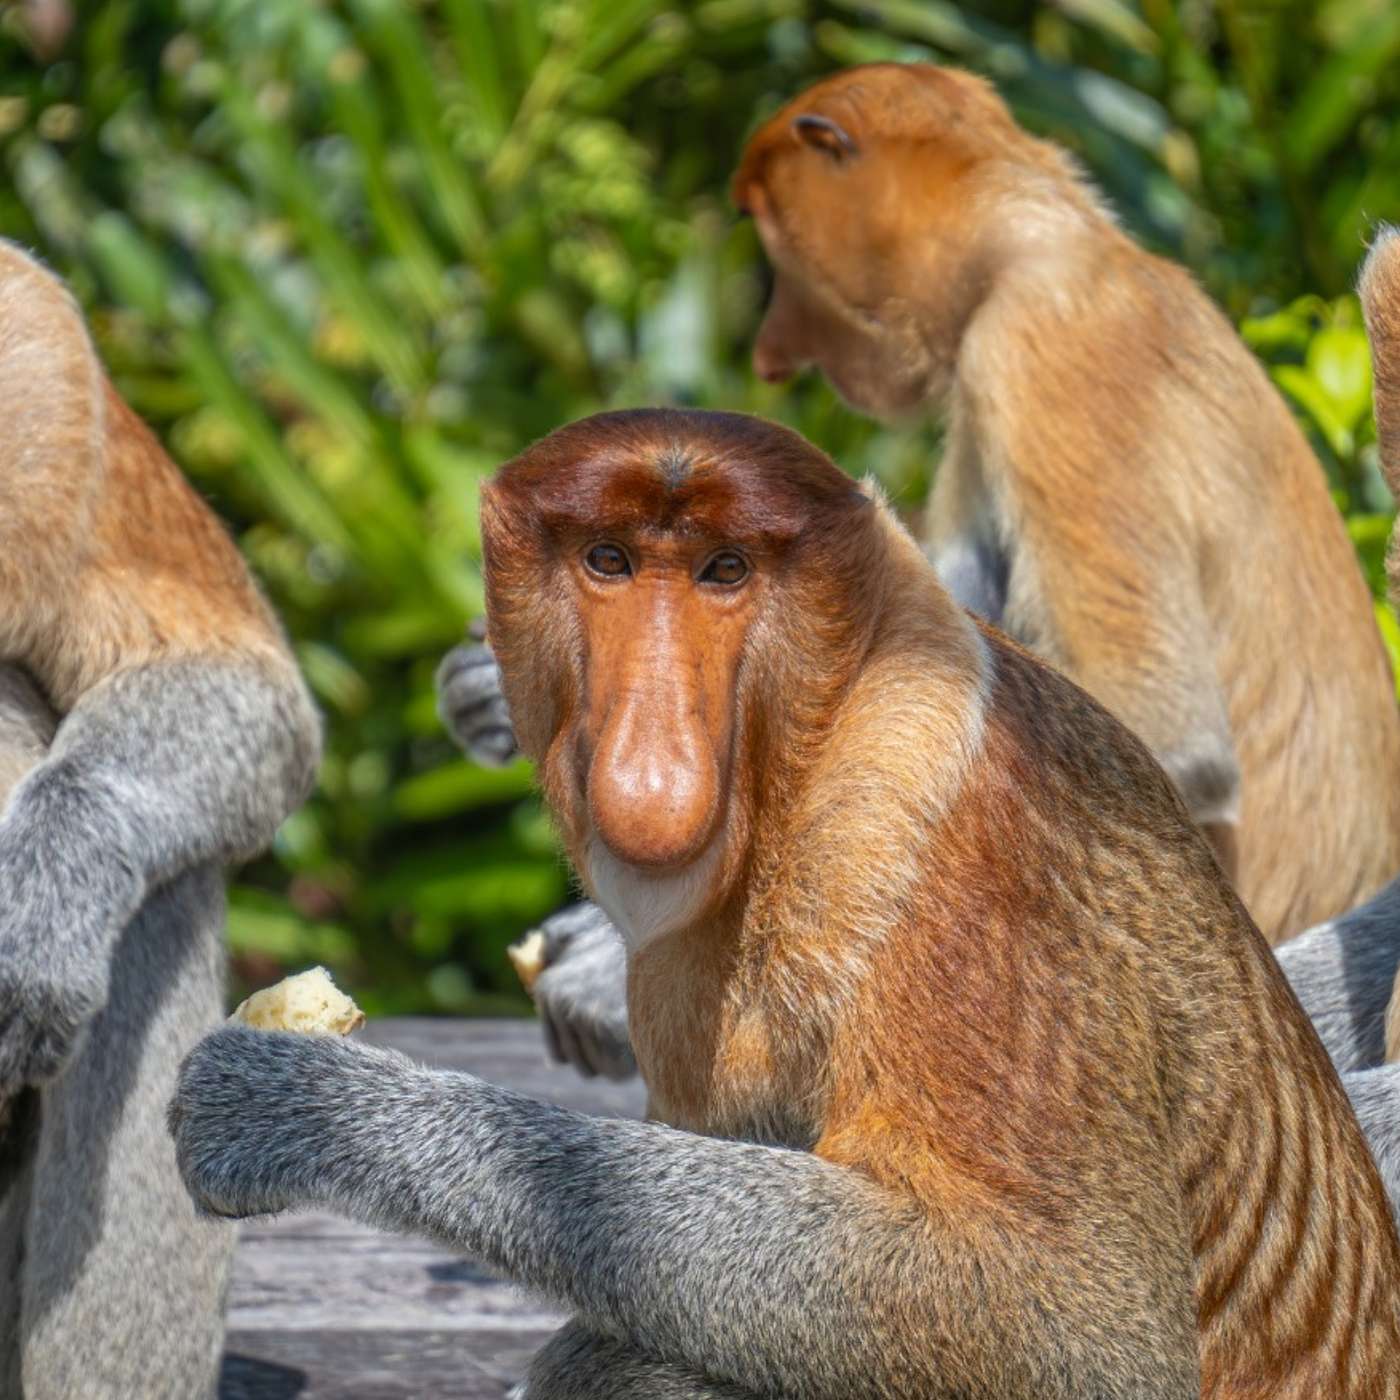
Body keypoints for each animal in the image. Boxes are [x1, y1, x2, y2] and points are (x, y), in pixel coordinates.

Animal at [172, 408, 1400, 1394]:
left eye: (725, 571)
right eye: (608, 560)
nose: (651, 768)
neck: (804, 756)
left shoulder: (932, 845)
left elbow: (1059, 1319)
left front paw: (294, 1105)